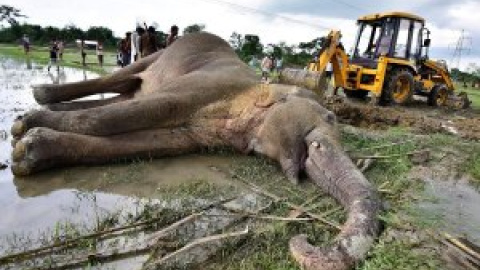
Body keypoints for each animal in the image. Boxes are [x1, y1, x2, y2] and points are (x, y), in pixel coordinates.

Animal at [9, 32, 380, 270]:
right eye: (330, 118)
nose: (302, 237)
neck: (258, 89)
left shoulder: (202, 131)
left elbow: (154, 141)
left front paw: (27, 153)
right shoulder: (207, 84)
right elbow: (148, 110)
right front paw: (23, 132)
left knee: (127, 92)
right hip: (157, 51)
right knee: (122, 81)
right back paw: (38, 98)